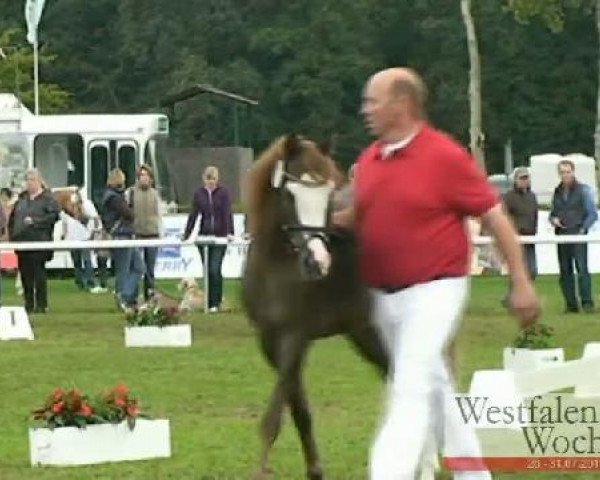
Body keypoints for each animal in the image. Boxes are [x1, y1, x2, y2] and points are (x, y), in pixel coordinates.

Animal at [241, 135, 386, 480]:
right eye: (289, 195)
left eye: (328, 196)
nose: (318, 262)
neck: (276, 269)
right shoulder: (270, 343)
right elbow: (300, 412)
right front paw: (315, 471)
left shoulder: (295, 338)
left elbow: (272, 421)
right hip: (364, 333)